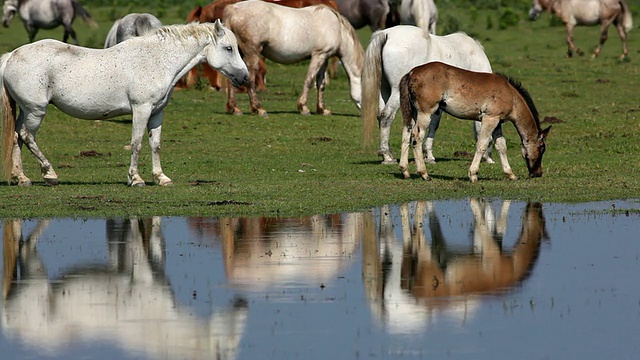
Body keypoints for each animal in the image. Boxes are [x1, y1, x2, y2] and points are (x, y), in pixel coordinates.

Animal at [1, 21, 249, 187]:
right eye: (229, 48)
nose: (245, 78)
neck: (156, 60)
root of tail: (12, 55)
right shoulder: (141, 109)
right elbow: (137, 143)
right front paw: (136, 178)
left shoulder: (157, 113)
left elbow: (155, 145)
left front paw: (161, 178)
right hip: (36, 110)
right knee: (27, 136)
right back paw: (49, 174)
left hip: (26, 110)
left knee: (17, 137)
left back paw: (21, 177)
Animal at [222, 0, 362, 116]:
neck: (338, 30)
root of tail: (232, 9)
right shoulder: (318, 55)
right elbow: (309, 80)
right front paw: (304, 108)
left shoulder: (324, 58)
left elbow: (321, 84)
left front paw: (323, 110)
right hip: (252, 53)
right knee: (250, 79)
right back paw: (259, 109)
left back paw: (235, 109)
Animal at [362, 25, 498, 165]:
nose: (489, 158)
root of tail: (385, 34)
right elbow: (433, 125)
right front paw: (429, 155)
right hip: (396, 92)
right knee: (386, 116)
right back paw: (387, 156)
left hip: (384, 90)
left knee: (380, 116)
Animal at [398, 61, 552, 183]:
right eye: (542, 148)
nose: (538, 173)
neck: (511, 95)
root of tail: (411, 72)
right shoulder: (490, 118)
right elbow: (482, 144)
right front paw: (473, 175)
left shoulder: (498, 122)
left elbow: (501, 146)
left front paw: (511, 174)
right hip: (425, 113)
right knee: (416, 137)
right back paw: (424, 174)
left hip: (413, 113)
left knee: (406, 134)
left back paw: (405, 171)